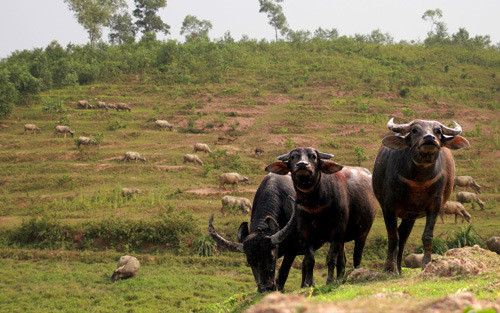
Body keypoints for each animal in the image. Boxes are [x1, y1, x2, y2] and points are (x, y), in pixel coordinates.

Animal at [266, 147, 376, 286]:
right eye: (292, 157)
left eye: (313, 156)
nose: (302, 165)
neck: (314, 205)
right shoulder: (306, 233)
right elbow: (310, 260)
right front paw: (309, 283)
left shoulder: (336, 232)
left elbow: (330, 259)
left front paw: (329, 281)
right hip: (343, 239)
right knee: (342, 260)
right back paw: (340, 278)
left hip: (363, 233)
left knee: (357, 256)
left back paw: (355, 272)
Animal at [374, 118, 470, 272]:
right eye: (414, 130)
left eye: (438, 131)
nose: (429, 138)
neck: (419, 180)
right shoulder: (388, 207)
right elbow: (393, 237)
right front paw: (389, 267)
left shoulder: (435, 206)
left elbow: (427, 236)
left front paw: (426, 263)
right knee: (399, 237)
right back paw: (395, 268)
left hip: (410, 216)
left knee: (403, 237)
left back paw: (399, 269)